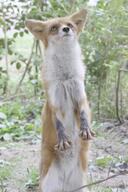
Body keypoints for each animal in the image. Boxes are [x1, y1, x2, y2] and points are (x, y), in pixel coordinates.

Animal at [25, 8, 94, 192]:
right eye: (54, 28)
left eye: (69, 24)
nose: (66, 29)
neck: (65, 78)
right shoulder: (53, 100)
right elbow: (58, 123)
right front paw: (63, 138)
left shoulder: (80, 94)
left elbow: (83, 113)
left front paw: (86, 129)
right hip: (47, 184)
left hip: (83, 186)